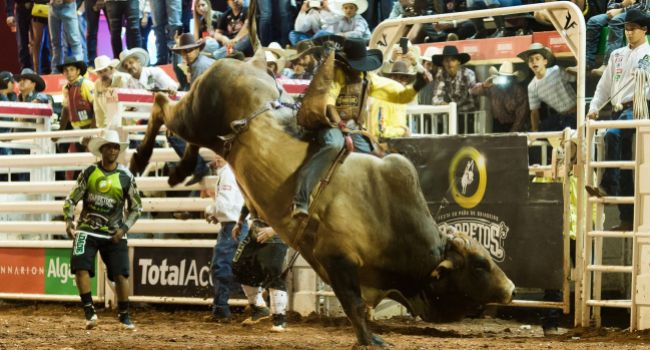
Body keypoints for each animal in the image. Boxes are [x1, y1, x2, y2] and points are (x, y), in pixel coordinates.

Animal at [129, 49, 512, 348]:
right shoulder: (336, 260)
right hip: (195, 114)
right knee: (162, 105)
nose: (509, 288)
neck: (388, 216)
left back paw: (179, 171)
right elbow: (354, 305)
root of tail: (248, 62)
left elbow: (359, 306)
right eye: (480, 264)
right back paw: (139, 159)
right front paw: (369, 340)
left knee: (185, 131)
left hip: (206, 130)